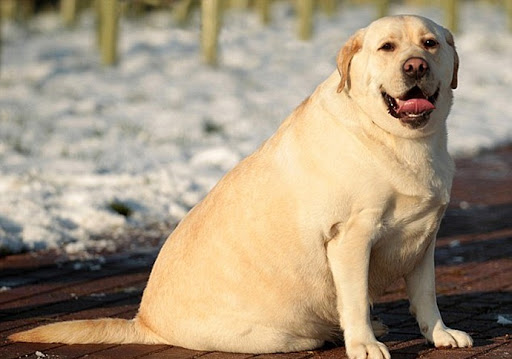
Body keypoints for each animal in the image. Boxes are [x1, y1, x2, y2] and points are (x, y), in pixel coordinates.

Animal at [10, 15, 472, 358]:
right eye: (387, 48)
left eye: (430, 44)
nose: (416, 66)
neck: (400, 141)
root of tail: (145, 322)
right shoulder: (350, 237)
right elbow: (356, 298)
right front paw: (364, 344)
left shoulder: (424, 238)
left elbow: (426, 295)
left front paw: (440, 335)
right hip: (278, 334)